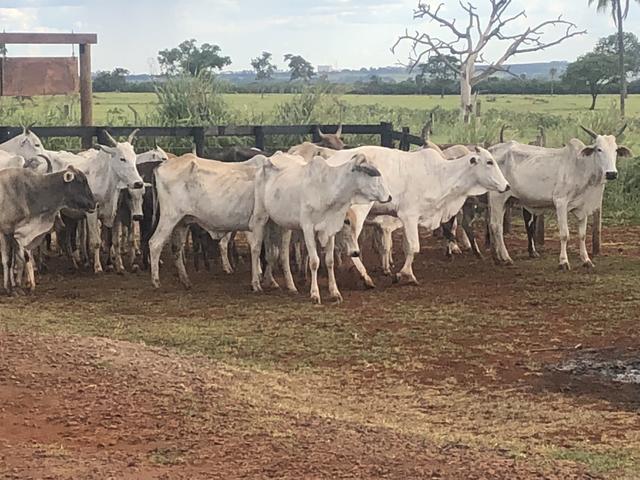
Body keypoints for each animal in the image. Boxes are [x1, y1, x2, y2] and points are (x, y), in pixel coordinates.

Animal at [252, 153, 392, 304]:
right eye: (373, 175)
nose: (389, 196)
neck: (326, 189)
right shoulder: (308, 229)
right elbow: (314, 262)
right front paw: (315, 294)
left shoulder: (329, 230)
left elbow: (330, 261)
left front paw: (335, 292)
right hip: (260, 216)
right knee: (256, 248)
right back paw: (256, 283)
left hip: (281, 224)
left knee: (281, 254)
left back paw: (287, 284)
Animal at [488, 125, 632, 270]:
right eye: (599, 149)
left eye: (615, 150)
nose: (611, 173)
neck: (581, 168)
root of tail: (491, 150)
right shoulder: (561, 203)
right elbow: (564, 234)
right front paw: (563, 261)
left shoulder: (583, 207)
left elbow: (582, 235)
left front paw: (586, 260)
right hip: (497, 198)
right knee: (496, 226)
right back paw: (505, 258)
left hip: (507, 201)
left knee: (497, 225)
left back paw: (498, 257)